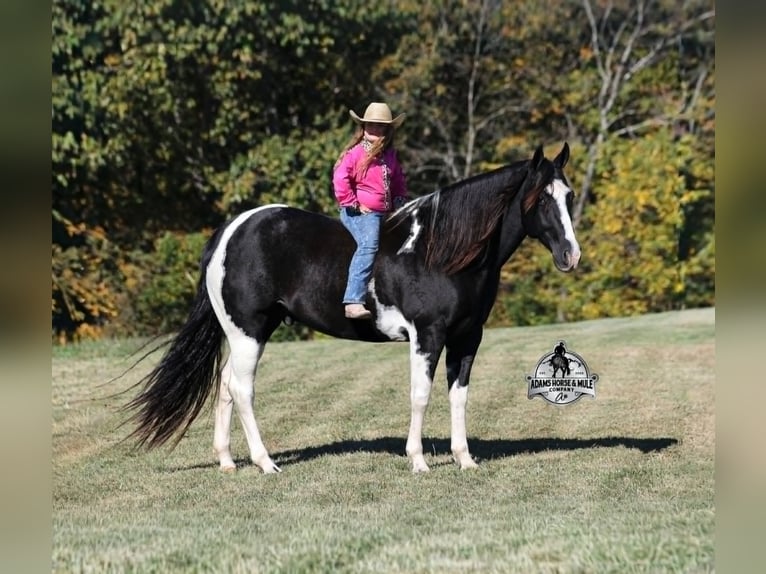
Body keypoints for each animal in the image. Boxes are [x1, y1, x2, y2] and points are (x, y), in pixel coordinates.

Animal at [124, 142, 581, 474]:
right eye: (541, 199)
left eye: (569, 196)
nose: (570, 255)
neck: (443, 251)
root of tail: (229, 231)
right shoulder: (427, 335)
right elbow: (420, 395)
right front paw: (418, 461)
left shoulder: (468, 337)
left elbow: (459, 397)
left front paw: (465, 459)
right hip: (249, 332)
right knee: (242, 389)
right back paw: (265, 462)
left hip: (245, 334)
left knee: (224, 385)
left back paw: (227, 462)